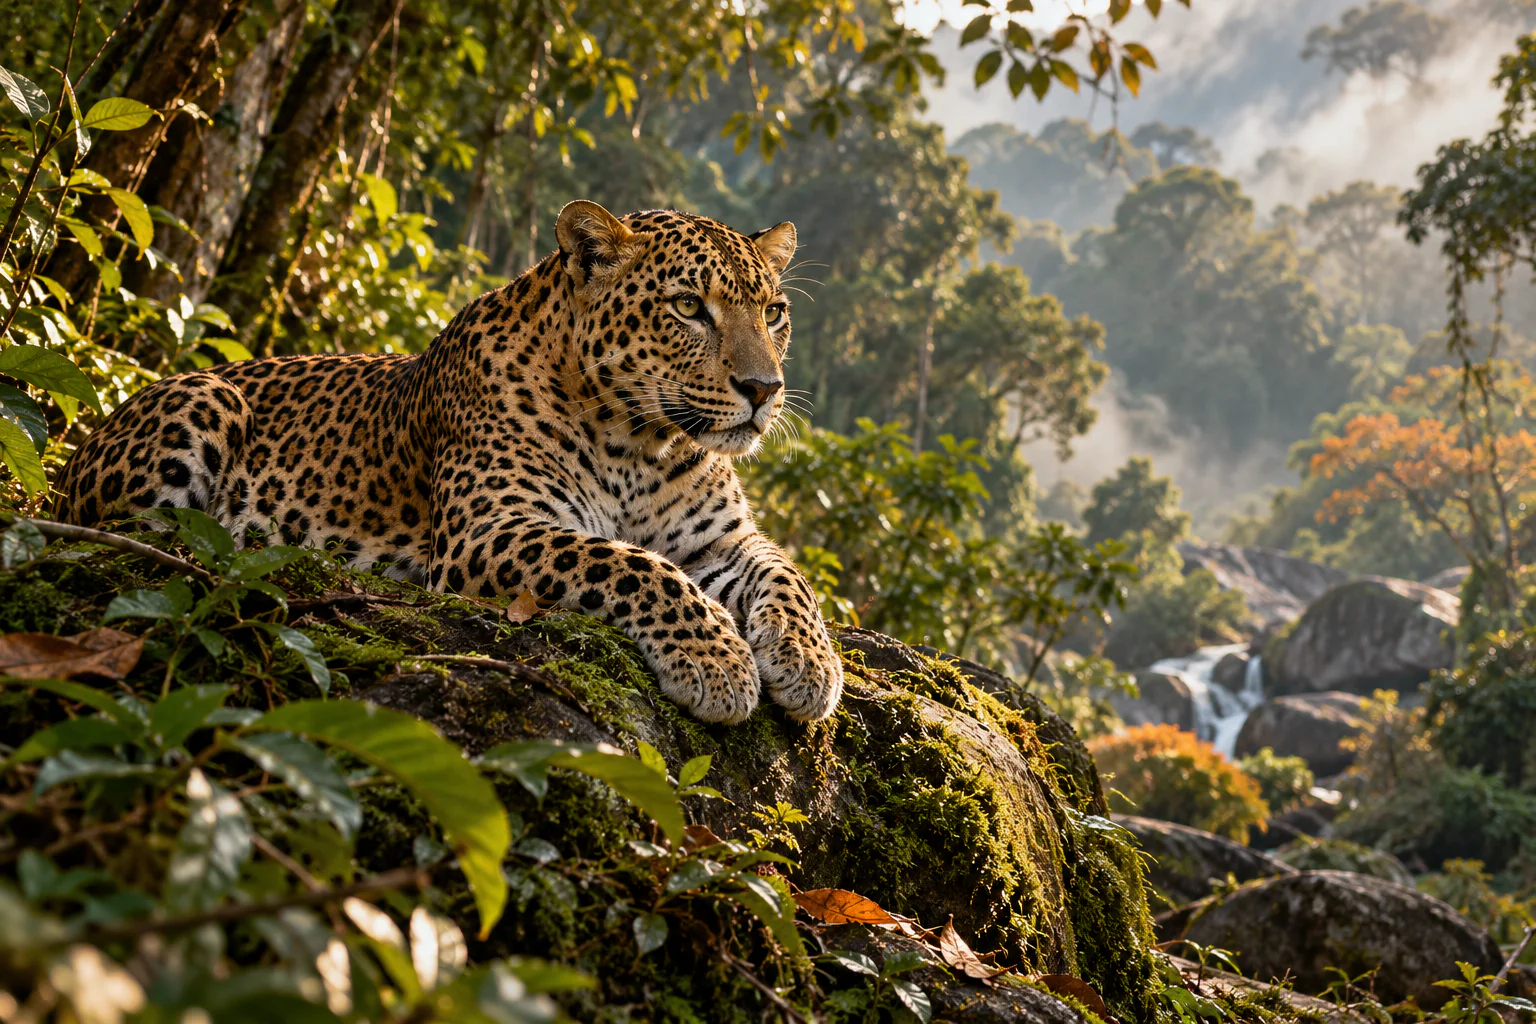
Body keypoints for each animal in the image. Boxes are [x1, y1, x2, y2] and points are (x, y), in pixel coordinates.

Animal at [54, 200, 843, 724]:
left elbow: (789, 576)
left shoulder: (723, 541)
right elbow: (634, 566)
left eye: (773, 312)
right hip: (204, 398)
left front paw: (809, 664)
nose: (763, 389)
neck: (644, 444)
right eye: (687, 307)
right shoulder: (491, 530)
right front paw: (717, 662)